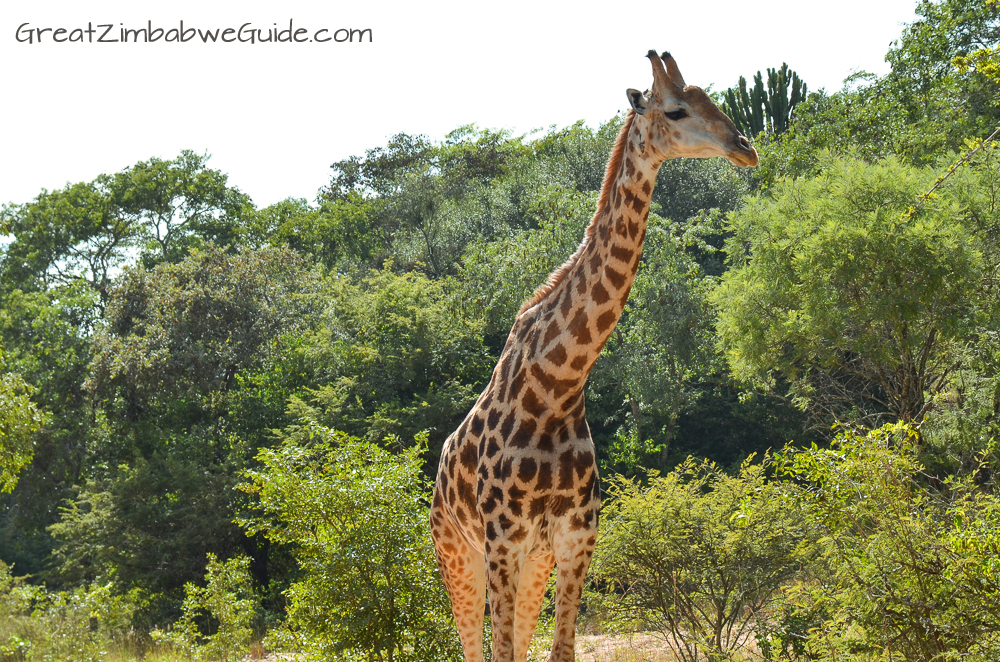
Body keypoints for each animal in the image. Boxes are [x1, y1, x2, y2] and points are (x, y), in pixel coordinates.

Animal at [432, 50, 756, 662]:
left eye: (710, 100)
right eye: (676, 111)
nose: (745, 146)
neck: (557, 388)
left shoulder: (574, 538)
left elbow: (560, 650)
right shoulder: (503, 542)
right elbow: (502, 652)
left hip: (530, 564)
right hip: (457, 556)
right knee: (473, 646)